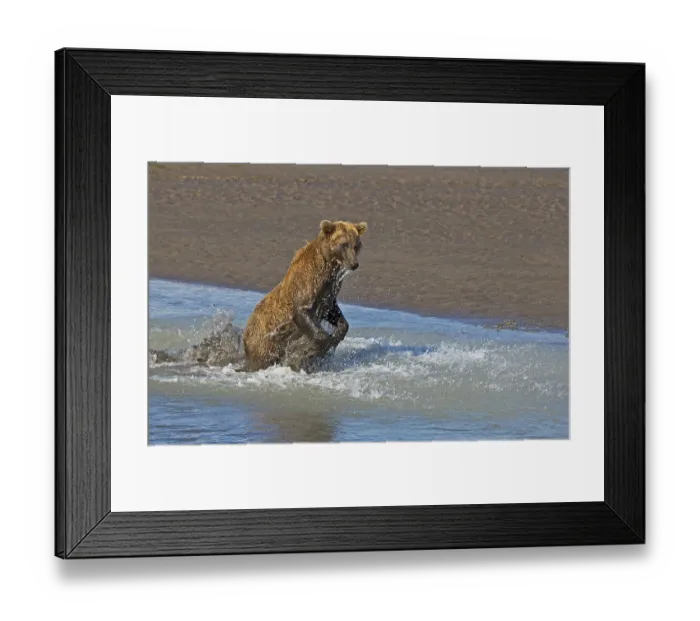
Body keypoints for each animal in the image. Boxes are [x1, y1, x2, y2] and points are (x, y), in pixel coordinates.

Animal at [243, 220, 367, 372]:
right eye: (344, 244)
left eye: (356, 245)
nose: (354, 264)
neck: (329, 267)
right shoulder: (307, 284)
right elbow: (302, 311)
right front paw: (309, 352)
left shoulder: (328, 293)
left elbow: (336, 315)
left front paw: (335, 337)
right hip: (263, 342)